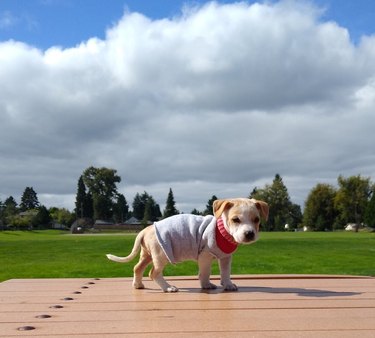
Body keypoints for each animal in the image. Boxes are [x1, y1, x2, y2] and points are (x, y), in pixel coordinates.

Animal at [107, 198, 268, 294]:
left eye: (256, 220)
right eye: (235, 219)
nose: (249, 234)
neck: (222, 231)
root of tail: (146, 229)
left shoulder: (226, 257)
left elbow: (226, 272)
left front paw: (227, 284)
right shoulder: (205, 256)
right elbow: (205, 273)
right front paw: (206, 285)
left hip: (147, 255)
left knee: (137, 268)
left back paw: (138, 285)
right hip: (161, 255)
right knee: (153, 273)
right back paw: (168, 287)